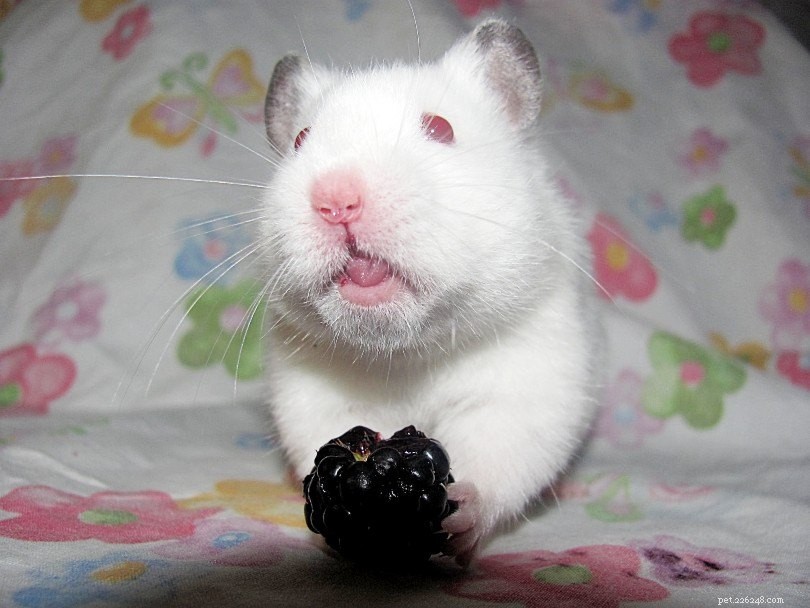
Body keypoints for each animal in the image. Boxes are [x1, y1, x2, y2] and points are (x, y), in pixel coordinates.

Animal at [260, 19, 601, 566]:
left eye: (441, 128)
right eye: (300, 139)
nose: (336, 200)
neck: (407, 354)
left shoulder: (529, 384)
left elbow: (499, 453)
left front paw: (459, 520)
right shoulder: (311, 392)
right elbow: (325, 439)